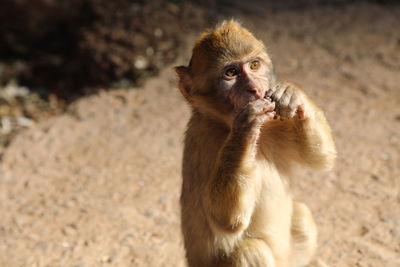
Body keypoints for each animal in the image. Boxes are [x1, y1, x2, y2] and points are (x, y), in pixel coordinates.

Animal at [174, 19, 334, 266]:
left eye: (254, 65)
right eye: (230, 73)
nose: (255, 88)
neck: (224, 124)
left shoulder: (275, 123)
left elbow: (320, 158)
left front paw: (292, 93)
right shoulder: (204, 139)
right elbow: (226, 218)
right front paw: (246, 126)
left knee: (302, 216)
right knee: (250, 250)